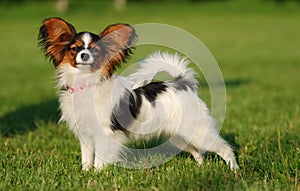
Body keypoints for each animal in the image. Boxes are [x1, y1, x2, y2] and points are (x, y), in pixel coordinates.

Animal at [38, 17, 239, 171]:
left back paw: (234, 171)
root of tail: (183, 82)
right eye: (75, 48)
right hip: (180, 137)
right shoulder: (85, 135)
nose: (85, 55)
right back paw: (201, 168)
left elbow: (100, 158)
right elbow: (87, 158)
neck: (87, 83)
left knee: (225, 149)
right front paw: (85, 173)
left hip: (196, 131)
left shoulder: (106, 133)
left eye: (95, 50)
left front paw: (97, 174)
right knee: (198, 153)